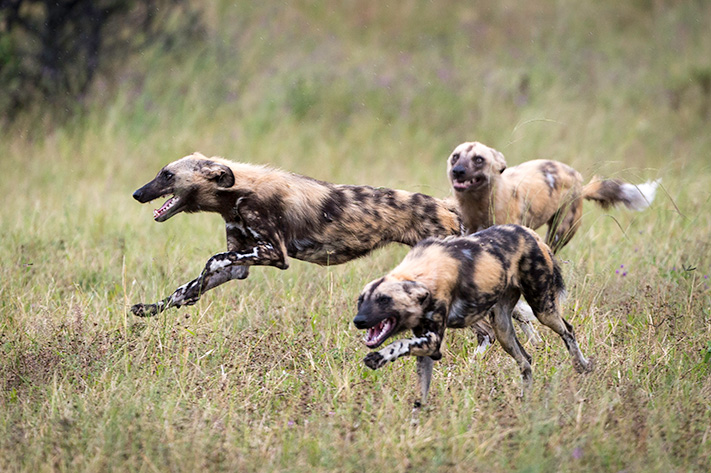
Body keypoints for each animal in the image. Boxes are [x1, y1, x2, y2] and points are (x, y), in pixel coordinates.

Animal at [130, 152, 470, 318]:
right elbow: (185, 286)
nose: (136, 194)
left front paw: (192, 291)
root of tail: (446, 205)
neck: (236, 193)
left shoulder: (274, 254)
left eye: (167, 175)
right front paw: (151, 308)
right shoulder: (240, 264)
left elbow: (211, 261)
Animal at [356, 225, 596, 406]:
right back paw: (526, 401)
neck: (423, 274)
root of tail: (530, 233)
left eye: (384, 300)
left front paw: (378, 357)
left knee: (568, 330)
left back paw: (582, 366)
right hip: (502, 328)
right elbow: (420, 400)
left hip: (543, 309)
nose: (358, 321)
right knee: (526, 361)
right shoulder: (425, 348)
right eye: (361, 301)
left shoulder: (433, 343)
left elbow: (399, 344)